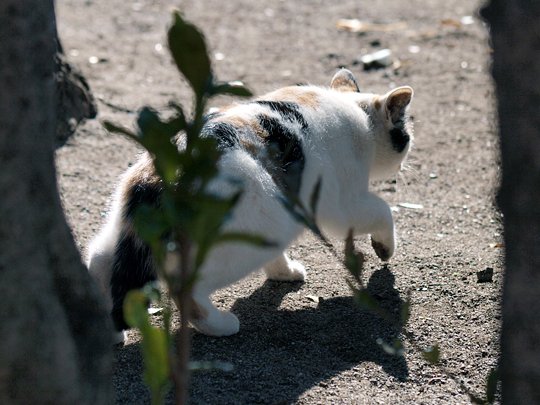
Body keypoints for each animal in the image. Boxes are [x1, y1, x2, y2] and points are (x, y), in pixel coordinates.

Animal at [87, 68, 414, 340]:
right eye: (406, 136)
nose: (404, 164)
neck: (353, 113)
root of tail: (165, 175)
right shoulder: (341, 205)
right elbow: (382, 211)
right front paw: (384, 248)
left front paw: (283, 273)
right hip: (250, 234)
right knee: (186, 289)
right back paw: (220, 326)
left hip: (123, 231)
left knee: (100, 261)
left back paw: (108, 332)